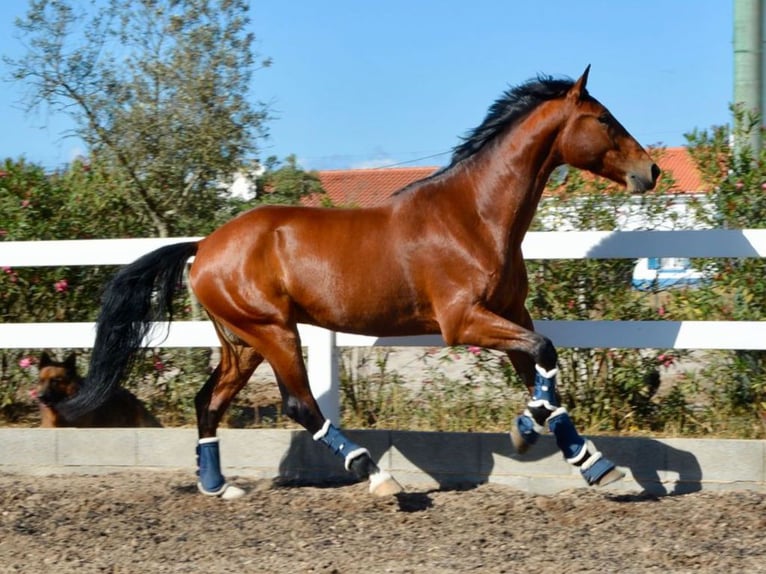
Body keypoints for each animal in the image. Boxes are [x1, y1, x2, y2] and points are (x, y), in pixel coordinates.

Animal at [58, 66, 660, 500]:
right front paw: (527, 433)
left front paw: (594, 463)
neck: (475, 215)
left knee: (208, 400)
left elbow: (544, 377)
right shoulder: (464, 321)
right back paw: (375, 474)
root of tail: (204, 246)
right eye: (604, 119)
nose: (650, 171)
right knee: (301, 406)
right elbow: (546, 355)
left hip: (242, 342)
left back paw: (218, 487)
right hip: (274, 332)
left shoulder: (511, 315)